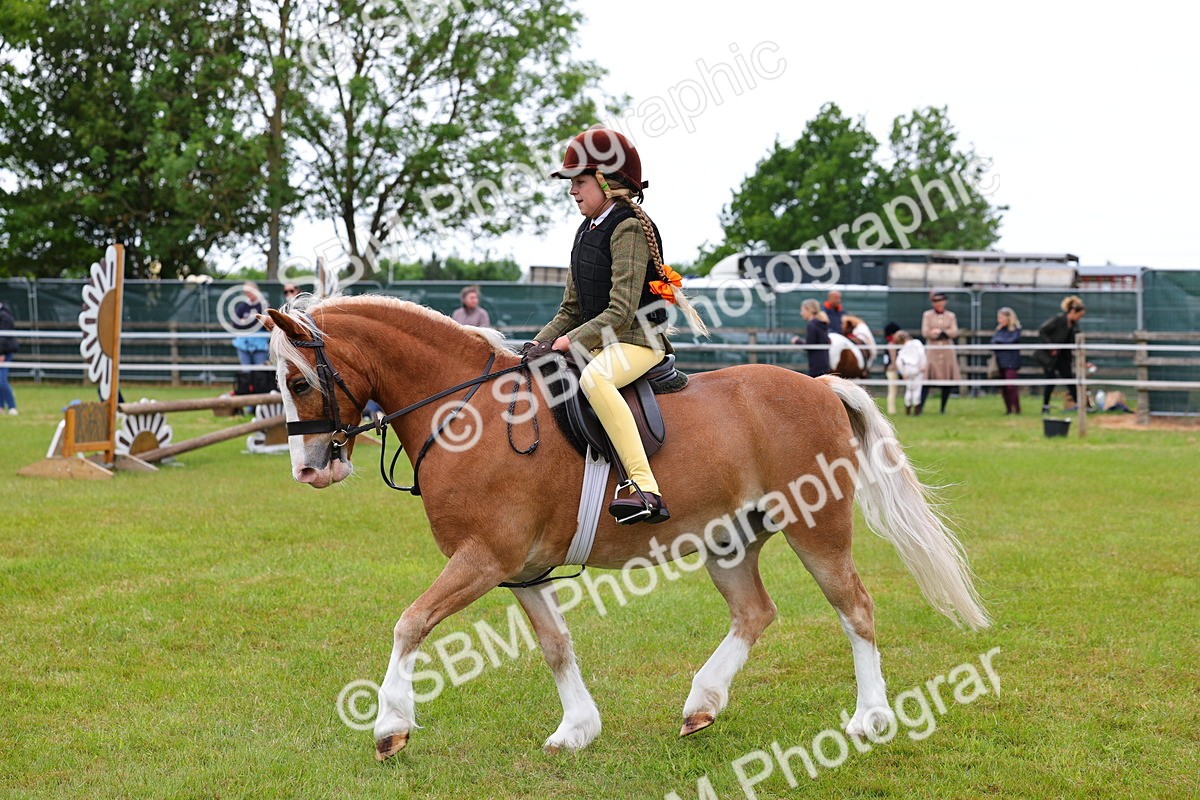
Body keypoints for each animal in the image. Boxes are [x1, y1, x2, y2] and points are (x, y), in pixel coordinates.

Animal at [262, 294, 989, 762]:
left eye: (297, 382)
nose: (308, 469)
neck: (468, 411)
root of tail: (822, 385)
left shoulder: (482, 559)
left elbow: (409, 624)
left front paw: (390, 724)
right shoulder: (521, 571)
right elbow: (555, 645)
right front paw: (577, 729)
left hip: (817, 527)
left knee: (855, 608)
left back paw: (870, 717)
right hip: (728, 539)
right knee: (754, 612)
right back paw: (702, 702)